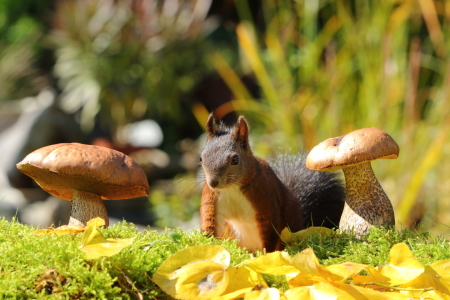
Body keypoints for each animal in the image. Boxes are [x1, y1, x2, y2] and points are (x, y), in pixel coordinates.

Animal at [200, 115, 344, 253]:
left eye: (235, 159)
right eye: (201, 158)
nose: (213, 182)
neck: (231, 188)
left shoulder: (264, 196)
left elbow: (269, 229)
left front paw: (267, 254)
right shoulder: (212, 198)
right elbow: (210, 221)